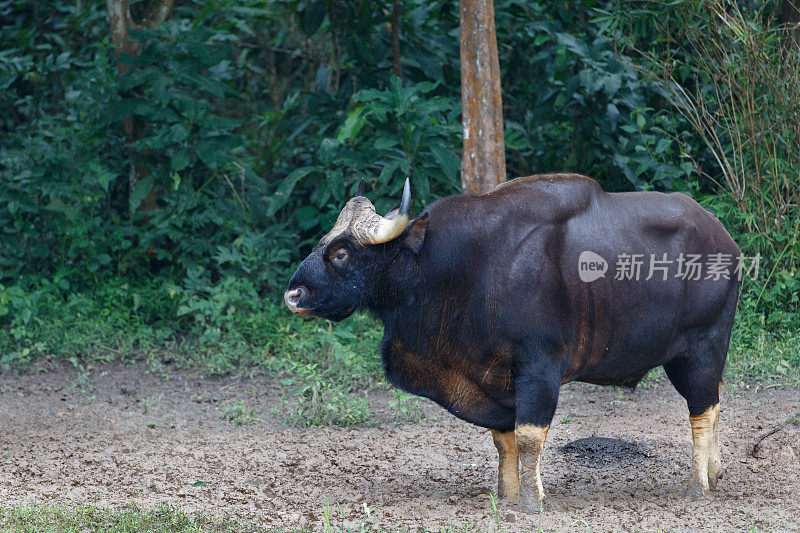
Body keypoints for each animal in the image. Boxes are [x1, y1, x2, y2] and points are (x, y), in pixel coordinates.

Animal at [284, 175, 740, 512]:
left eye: (341, 252)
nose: (293, 294)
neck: (465, 267)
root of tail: (724, 241)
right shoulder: (489, 378)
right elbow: (503, 439)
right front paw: (508, 496)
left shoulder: (539, 368)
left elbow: (528, 436)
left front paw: (533, 502)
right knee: (716, 399)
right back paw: (715, 473)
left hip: (701, 349)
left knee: (701, 410)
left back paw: (698, 486)